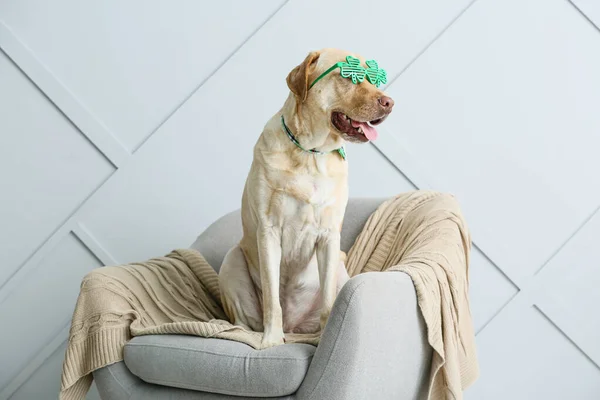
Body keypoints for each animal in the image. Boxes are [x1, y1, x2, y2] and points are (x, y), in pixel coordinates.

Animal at [219, 48, 394, 346]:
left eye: (374, 79)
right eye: (349, 76)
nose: (389, 102)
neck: (311, 153)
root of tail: (294, 328)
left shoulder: (329, 237)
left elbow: (328, 301)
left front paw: (325, 336)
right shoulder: (268, 231)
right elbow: (272, 299)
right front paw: (271, 340)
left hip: (341, 268)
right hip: (232, 260)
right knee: (242, 321)